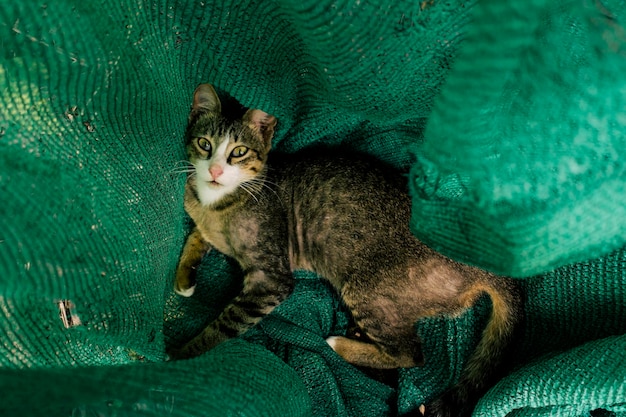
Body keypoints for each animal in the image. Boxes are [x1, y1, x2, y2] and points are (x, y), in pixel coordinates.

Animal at [171, 83, 520, 416]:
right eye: (204, 144)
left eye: (239, 152)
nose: (215, 171)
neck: (218, 203)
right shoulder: (203, 222)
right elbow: (195, 237)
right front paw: (184, 278)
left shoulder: (271, 277)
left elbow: (226, 322)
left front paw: (180, 357)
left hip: (366, 290)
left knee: (411, 354)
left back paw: (340, 345)